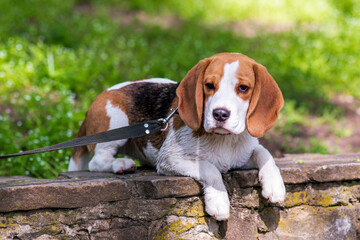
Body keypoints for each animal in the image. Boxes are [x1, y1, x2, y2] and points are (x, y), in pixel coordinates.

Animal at [69, 53, 286, 221]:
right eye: (209, 85)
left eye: (243, 88)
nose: (220, 114)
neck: (223, 139)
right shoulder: (170, 158)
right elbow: (210, 168)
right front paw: (218, 201)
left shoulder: (243, 153)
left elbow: (265, 153)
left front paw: (275, 185)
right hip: (116, 121)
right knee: (97, 161)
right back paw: (120, 164)